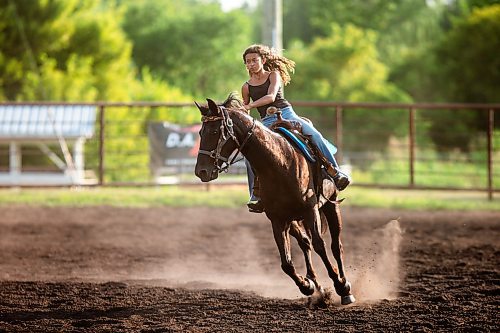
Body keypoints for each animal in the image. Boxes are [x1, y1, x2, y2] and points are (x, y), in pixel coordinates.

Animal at [195, 94, 356, 304]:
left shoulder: (310, 209)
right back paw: (316, 284)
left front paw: (339, 285)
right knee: (305, 242)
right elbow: (286, 263)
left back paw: (345, 288)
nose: (201, 171)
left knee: (335, 245)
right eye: (200, 132)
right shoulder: (277, 218)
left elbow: (320, 245)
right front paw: (307, 286)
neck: (279, 163)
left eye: (214, 131)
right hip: (293, 219)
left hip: (330, 204)